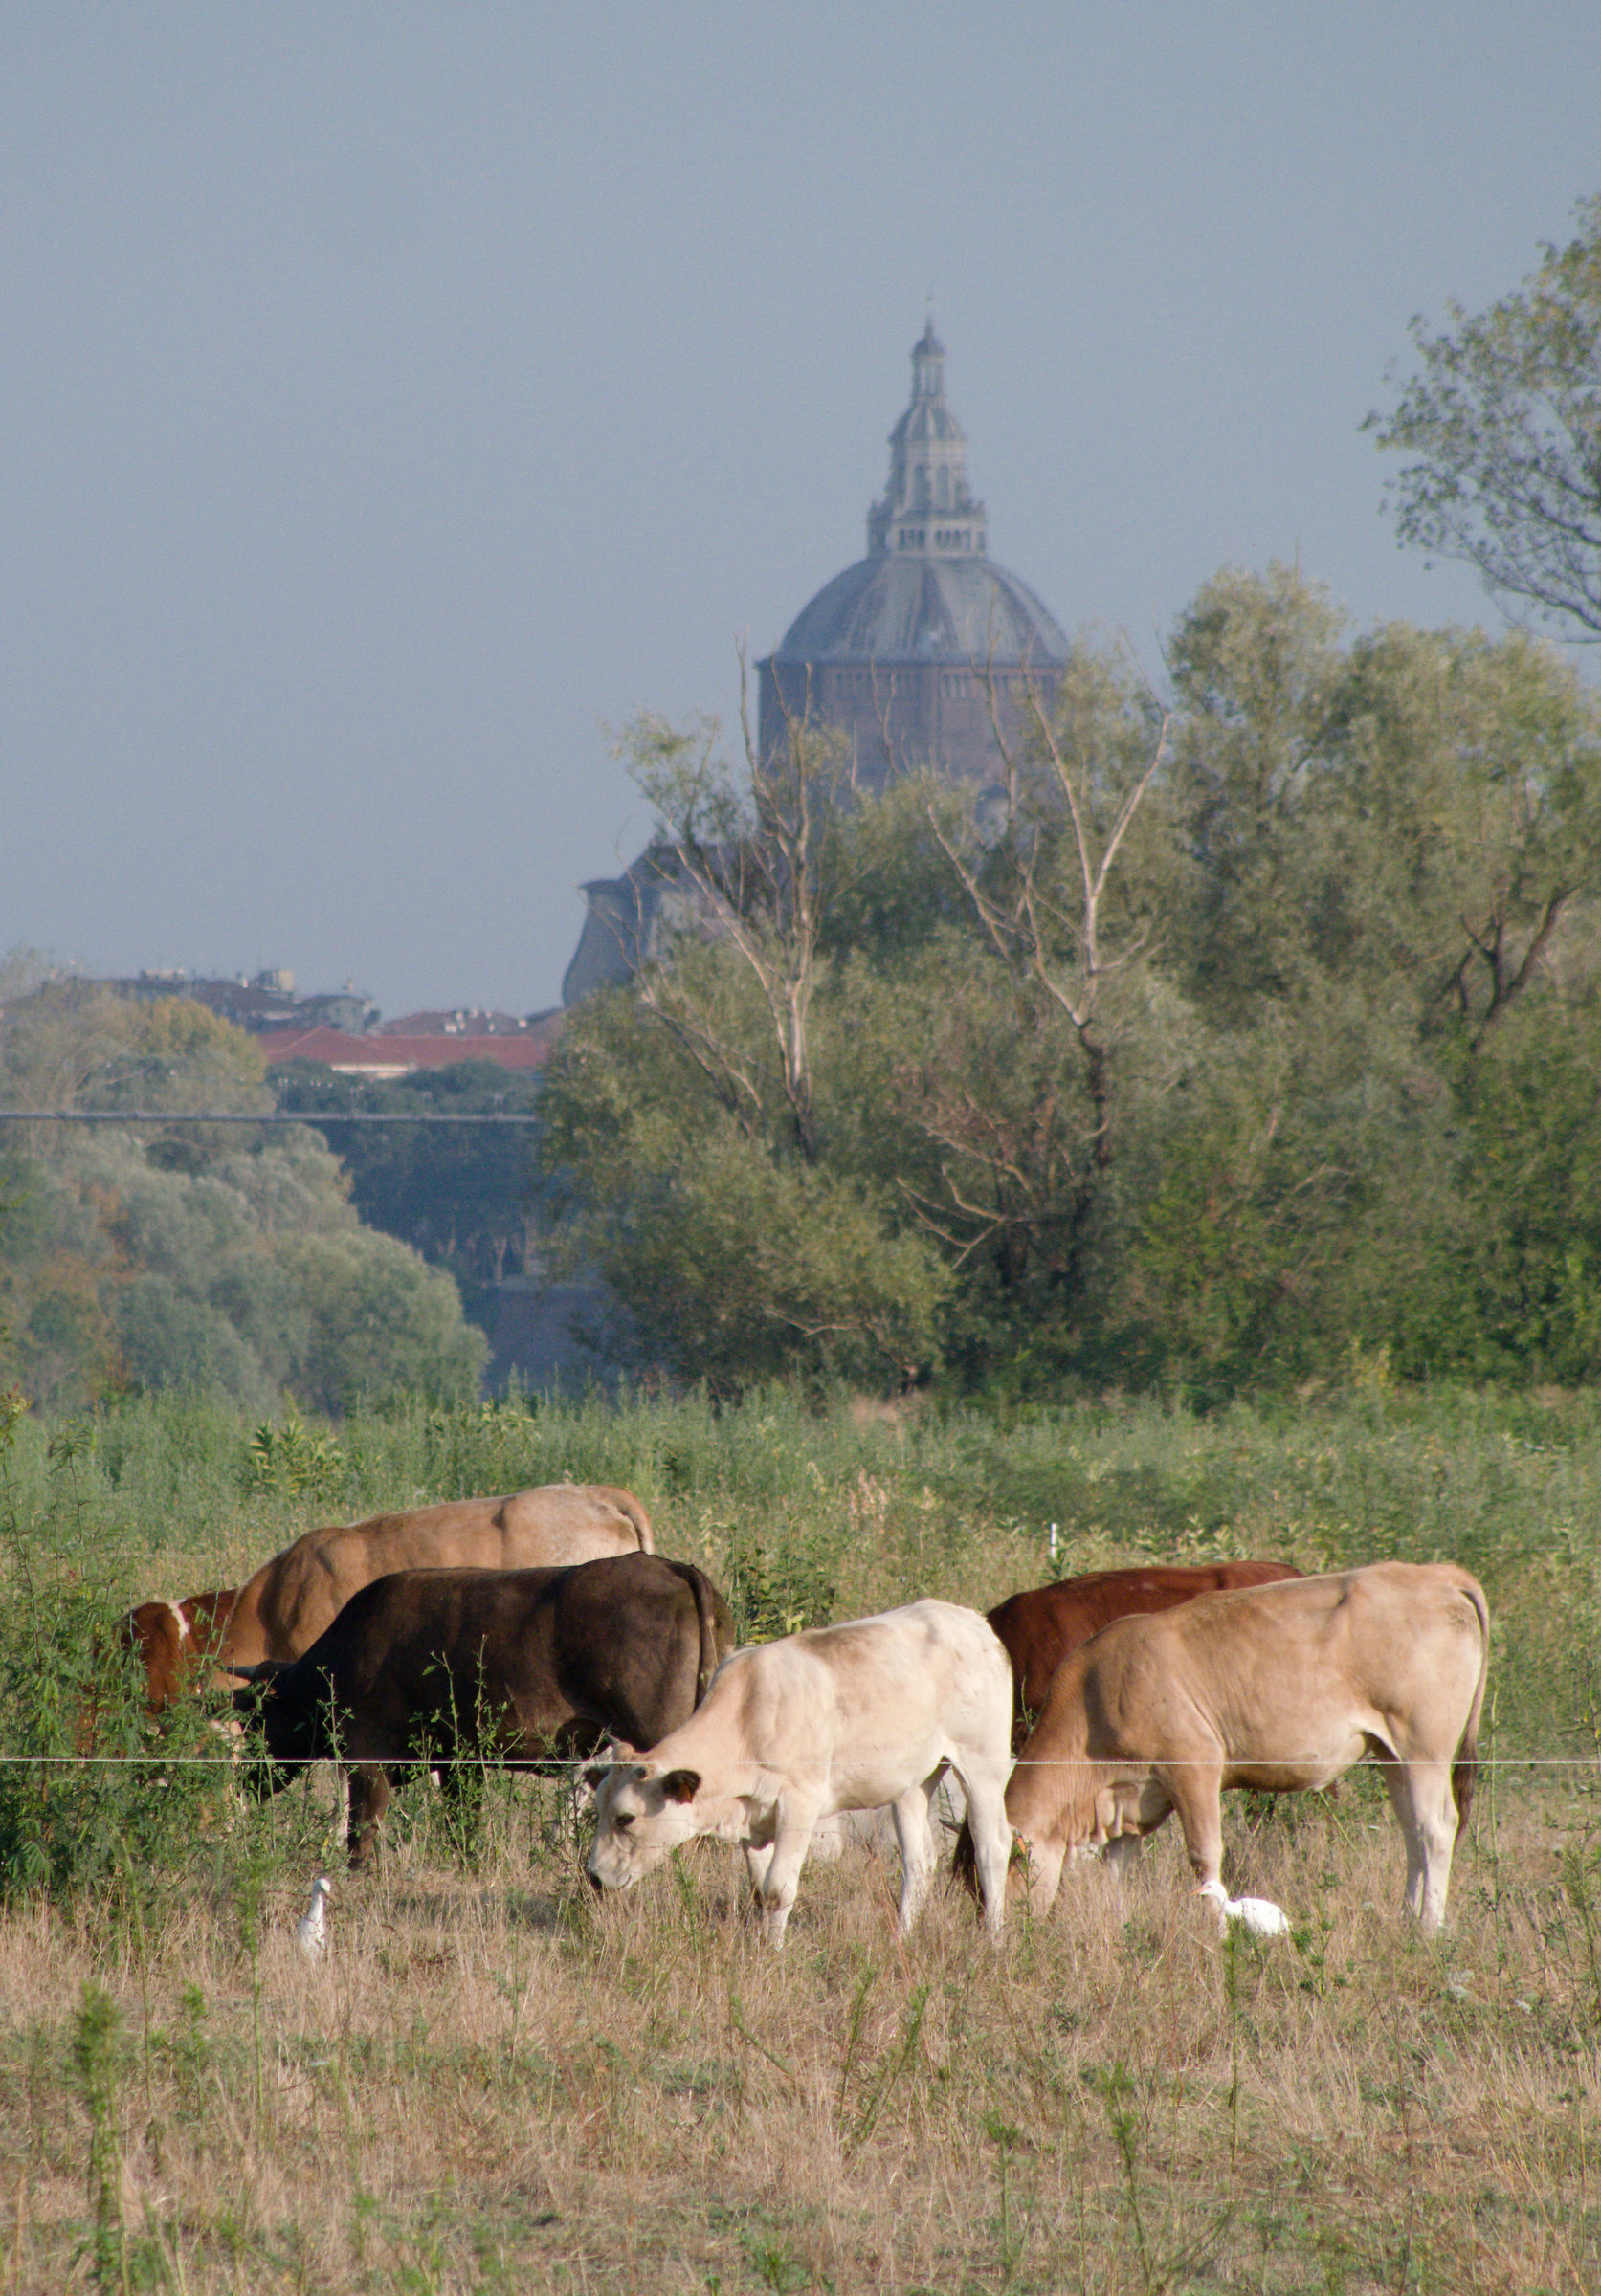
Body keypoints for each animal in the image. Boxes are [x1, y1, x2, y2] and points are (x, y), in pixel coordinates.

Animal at [231, 1551, 732, 1870]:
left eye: (255, 1723)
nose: (244, 1782)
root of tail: (666, 1565)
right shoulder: (459, 1761)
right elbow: (462, 1824)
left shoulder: (368, 1759)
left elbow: (362, 1829)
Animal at [586, 1598, 1015, 1946]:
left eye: (626, 1817)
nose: (594, 1877)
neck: (748, 1714)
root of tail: (971, 1620)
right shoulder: (754, 1817)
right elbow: (760, 1890)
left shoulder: (799, 1803)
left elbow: (778, 1888)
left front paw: (774, 1955)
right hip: (912, 1782)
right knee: (918, 1860)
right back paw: (901, 1938)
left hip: (982, 1762)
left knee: (991, 1847)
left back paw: (992, 1940)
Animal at [1000, 1562, 1490, 1932]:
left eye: (1007, 1863)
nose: (997, 1925)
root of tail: (1437, 1574)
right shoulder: (1129, 1800)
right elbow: (1115, 1870)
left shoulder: (1193, 1770)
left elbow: (1205, 1859)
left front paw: (1218, 1932)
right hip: (1393, 1754)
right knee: (1412, 1830)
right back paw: (1406, 1917)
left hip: (1424, 1749)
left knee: (1436, 1828)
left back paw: (1427, 1927)